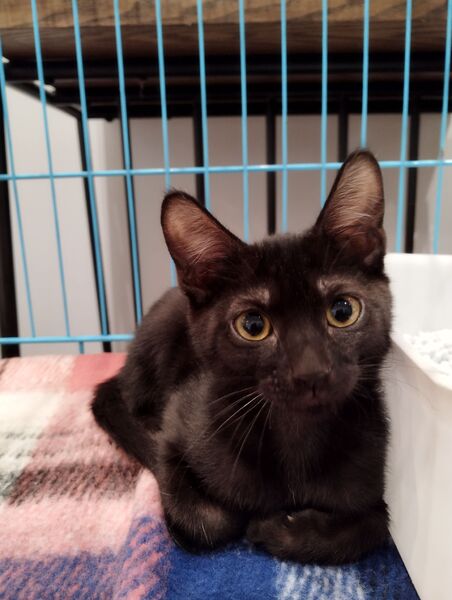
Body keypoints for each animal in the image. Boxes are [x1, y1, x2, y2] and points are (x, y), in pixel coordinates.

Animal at [92, 149, 392, 565]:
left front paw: (279, 527)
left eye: (343, 311)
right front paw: (252, 521)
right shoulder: (176, 430)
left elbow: (370, 528)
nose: (311, 372)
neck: (296, 435)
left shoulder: (373, 484)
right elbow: (207, 520)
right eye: (253, 325)